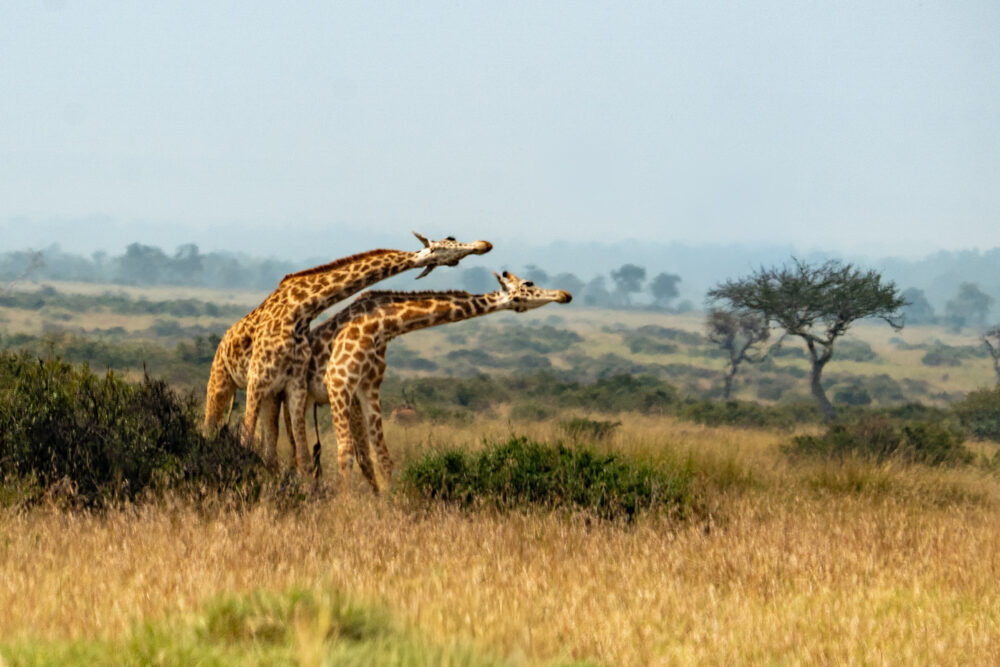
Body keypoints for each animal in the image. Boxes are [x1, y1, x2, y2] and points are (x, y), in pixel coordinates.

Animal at [203, 232, 492, 475]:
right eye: (447, 244)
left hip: (273, 398)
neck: (301, 311)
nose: (483, 245)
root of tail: (223, 340)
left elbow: (304, 457)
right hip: (222, 381)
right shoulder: (257, 380)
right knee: (210, 426)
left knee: (274, 450)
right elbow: (246, 439)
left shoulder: (293, 386)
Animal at [307, 271, 571, 493]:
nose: (563, 294)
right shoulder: (339, 382)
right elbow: (349, 452)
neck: (382, 324)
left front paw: (386, 501)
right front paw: (347, 503)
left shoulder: (366, 387)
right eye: (529, 283)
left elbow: (377, 456)